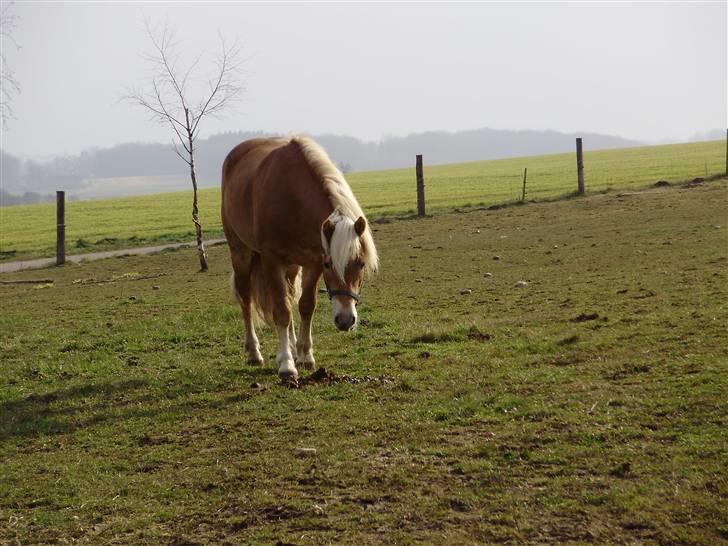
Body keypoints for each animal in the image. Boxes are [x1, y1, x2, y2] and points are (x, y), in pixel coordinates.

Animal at [220, 136, 382, 380]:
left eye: (361, 263)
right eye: (329, 264)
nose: (345, 320)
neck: (292, 198)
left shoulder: (312, 261)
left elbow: (305, 306)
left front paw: (305, 356)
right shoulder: (273, 260)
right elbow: (281, 312)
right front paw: (287, 365)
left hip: (292, 266)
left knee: (289, 297)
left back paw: (293, 349)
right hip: (241, 253)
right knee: (246, 300)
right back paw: (254, 353)